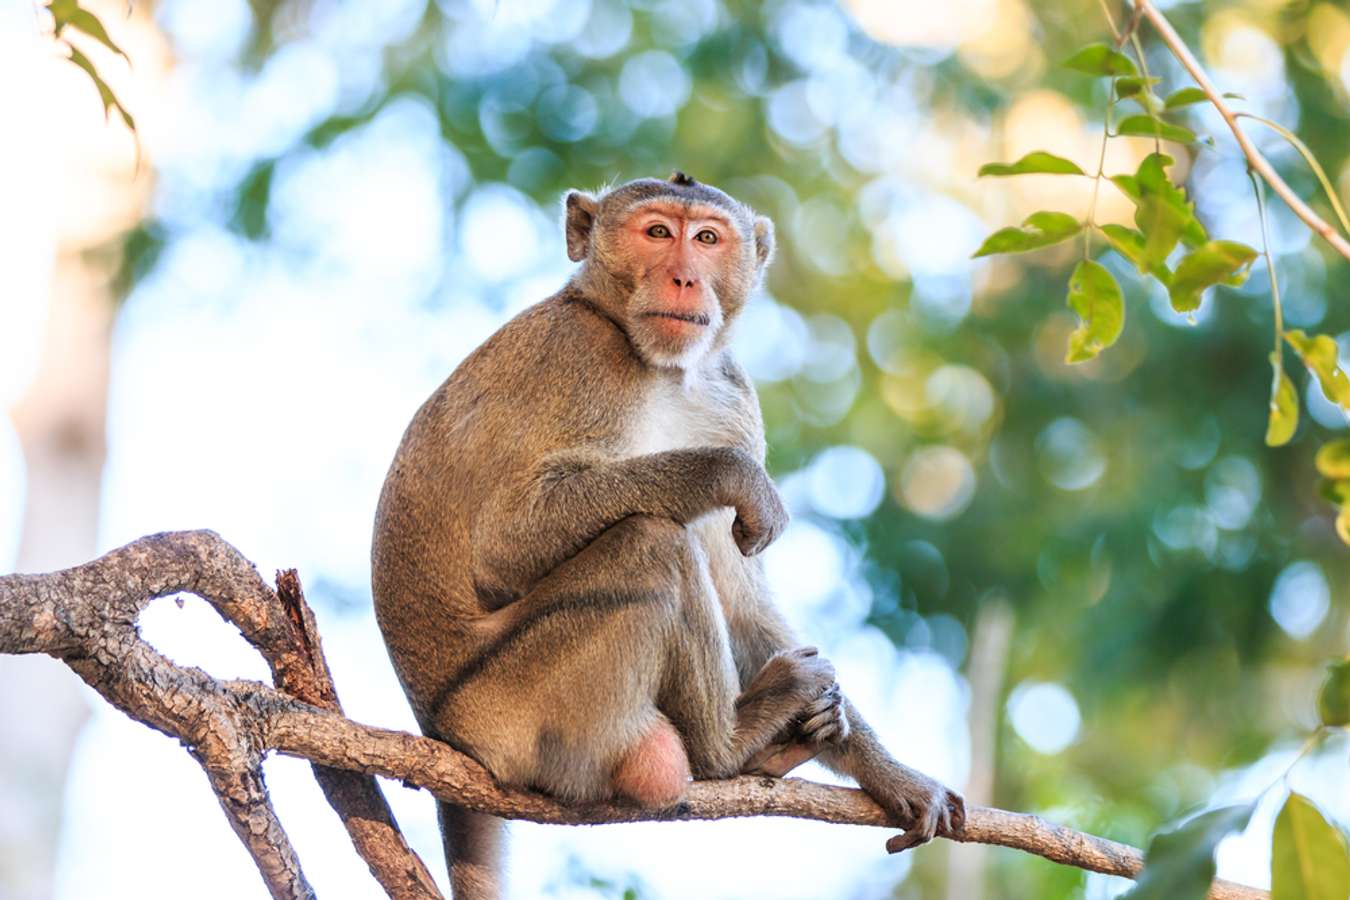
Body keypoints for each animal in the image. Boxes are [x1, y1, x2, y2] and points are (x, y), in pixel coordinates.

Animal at [369, 172, 961, 895]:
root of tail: (446, 733)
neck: (659, 367)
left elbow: (742, 600)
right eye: (656, 232)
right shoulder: (581, 360)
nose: (683, 277)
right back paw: (730, 746)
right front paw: (729, 475)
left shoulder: (729, 395)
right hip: (516, 703)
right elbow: (504, 546)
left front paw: (886, 770)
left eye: (706, 237)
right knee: (649, 542)